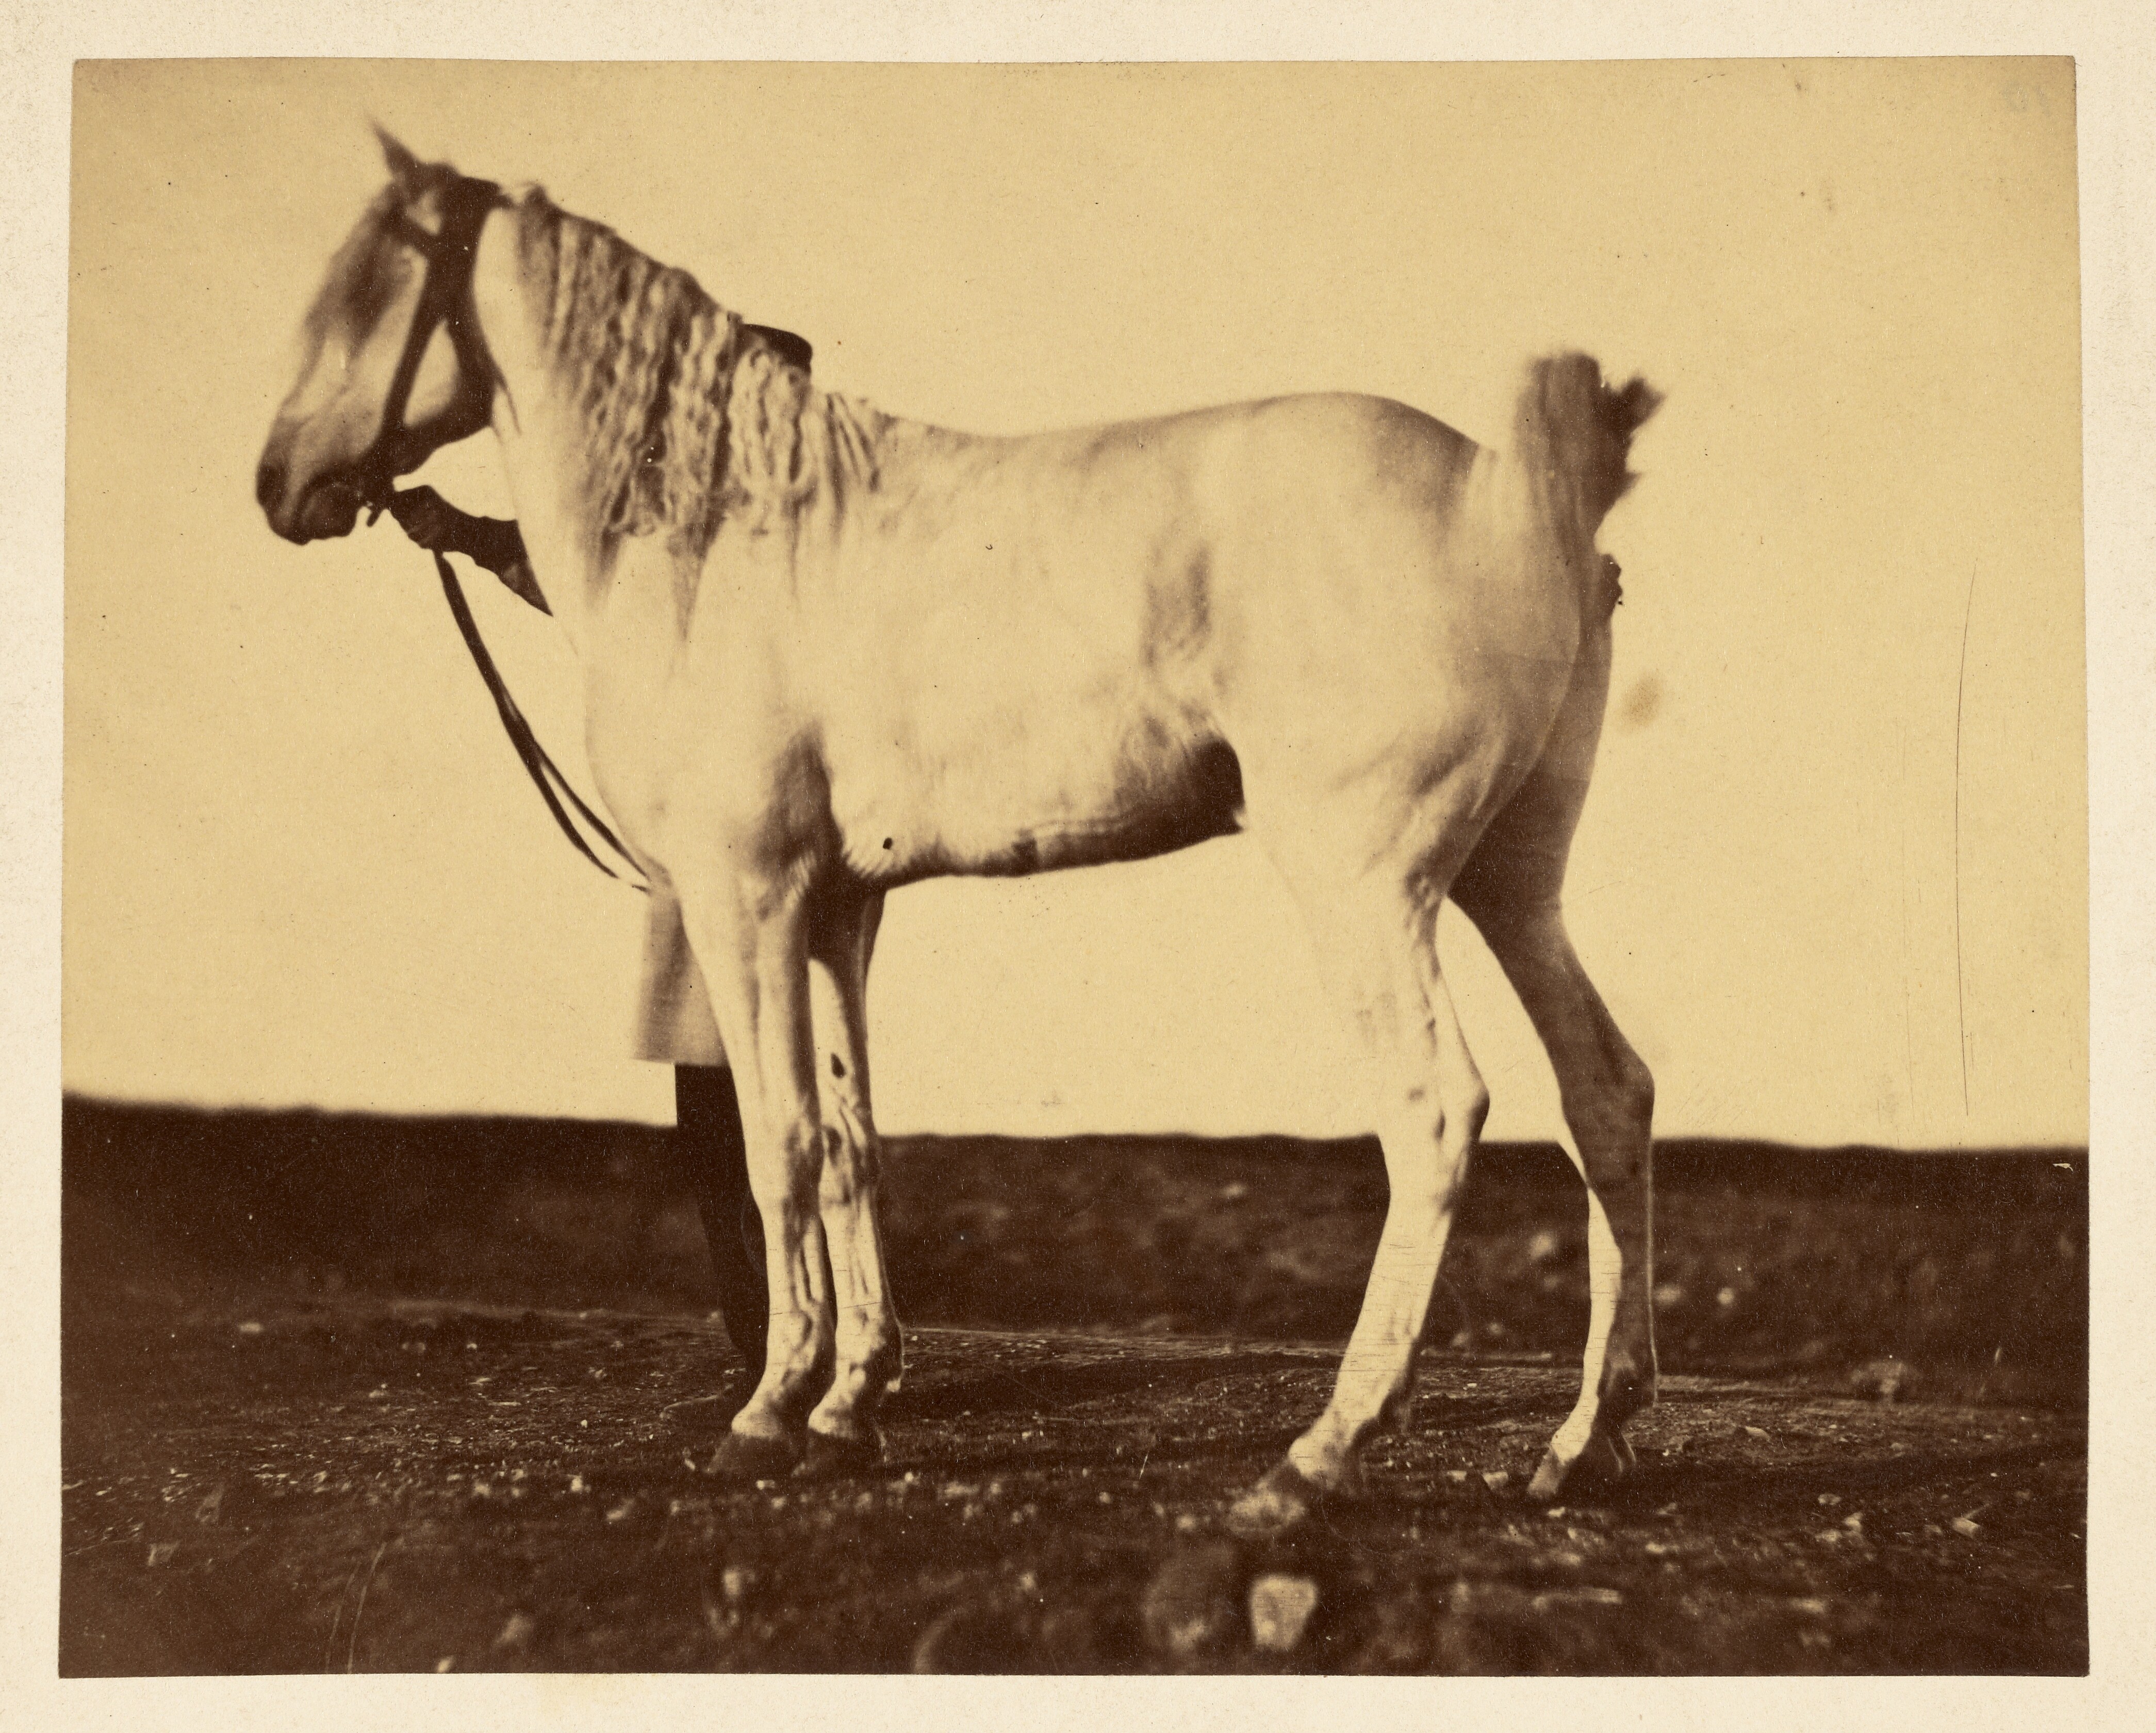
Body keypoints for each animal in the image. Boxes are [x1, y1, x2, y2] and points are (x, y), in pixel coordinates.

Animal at [257, 132, 1662, 1533]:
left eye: (364, 284)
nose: (279, 485)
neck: (721, 531)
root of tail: (1512, 495)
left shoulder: (744, 895)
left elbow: (778, 1143)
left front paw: (769, 1413)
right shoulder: (838, 908)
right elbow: (852, 1143)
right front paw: (847, 1410)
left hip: (1365, 888)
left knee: (1433, 1109)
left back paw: (1316, 1455)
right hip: (1509, 883)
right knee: (1606, 1093)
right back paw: (1582, 1442)